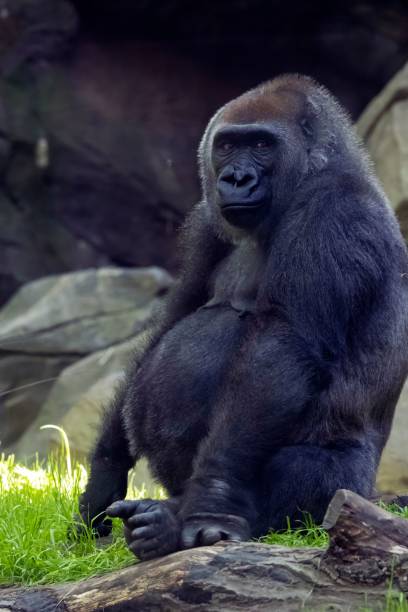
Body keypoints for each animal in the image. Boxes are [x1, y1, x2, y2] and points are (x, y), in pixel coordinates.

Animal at [78, 75, 408, 560]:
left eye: (262, 144)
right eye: (229, 145)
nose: (237, 178)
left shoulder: (334, 212)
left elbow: (284, 342)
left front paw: (210, 507)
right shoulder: (205, 223)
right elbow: (171, 320)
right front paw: (103, 476)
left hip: (355, 483)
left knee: (311, 473)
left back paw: (169, 522)